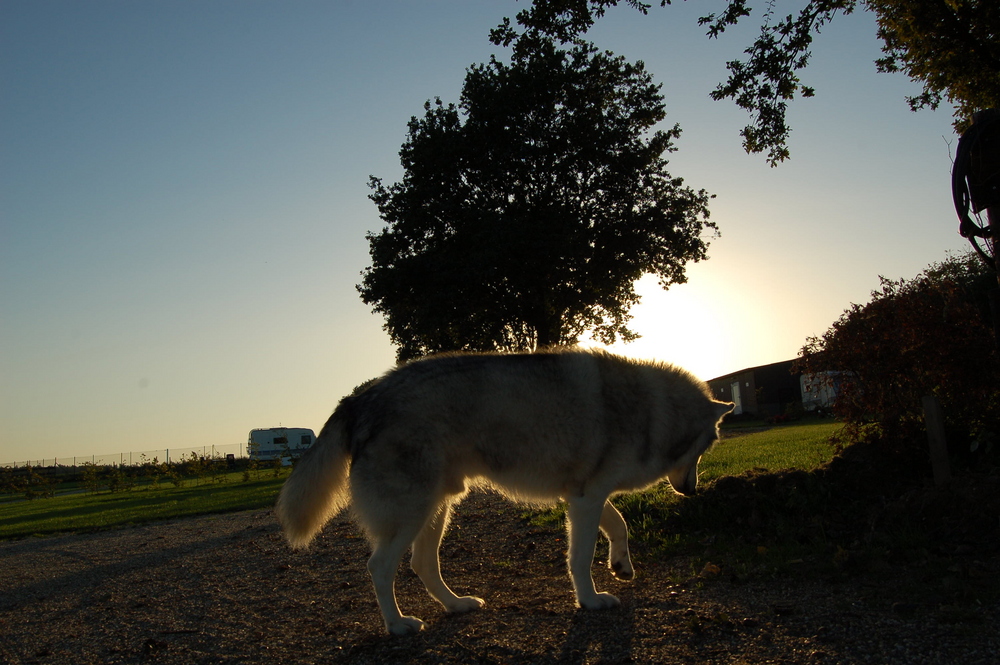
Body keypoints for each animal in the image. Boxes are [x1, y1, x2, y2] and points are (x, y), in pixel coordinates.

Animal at [278, 348, 732, 632]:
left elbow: (618, 526)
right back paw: (398, 625)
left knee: (422, 565)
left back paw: (456, 605)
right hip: (412, 513)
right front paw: (589, 600)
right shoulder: (586, 499)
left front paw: (621, 565)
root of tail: (359, 398)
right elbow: (581, 557)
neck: (648, 408)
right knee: (380, 567)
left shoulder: (584, 495)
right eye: (707, 446)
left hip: (436, 510)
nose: (692, 493)